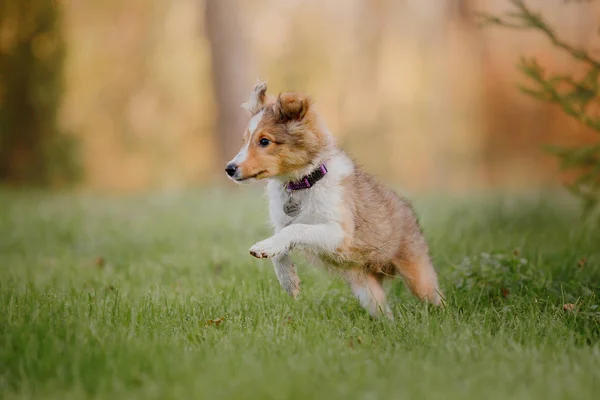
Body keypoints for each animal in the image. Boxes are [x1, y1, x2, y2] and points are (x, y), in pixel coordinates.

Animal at [225, 82, 440, 318]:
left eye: (264, 141)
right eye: (244, 141)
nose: (229, 169)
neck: (302, 183)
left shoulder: (340, 233)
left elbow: (297, 229)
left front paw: (266, 249)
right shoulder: (283, 221)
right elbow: (280, 244)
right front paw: (288, 280)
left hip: (418, 275)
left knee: (435, 299)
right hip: (367, 290)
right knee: (385, 314)